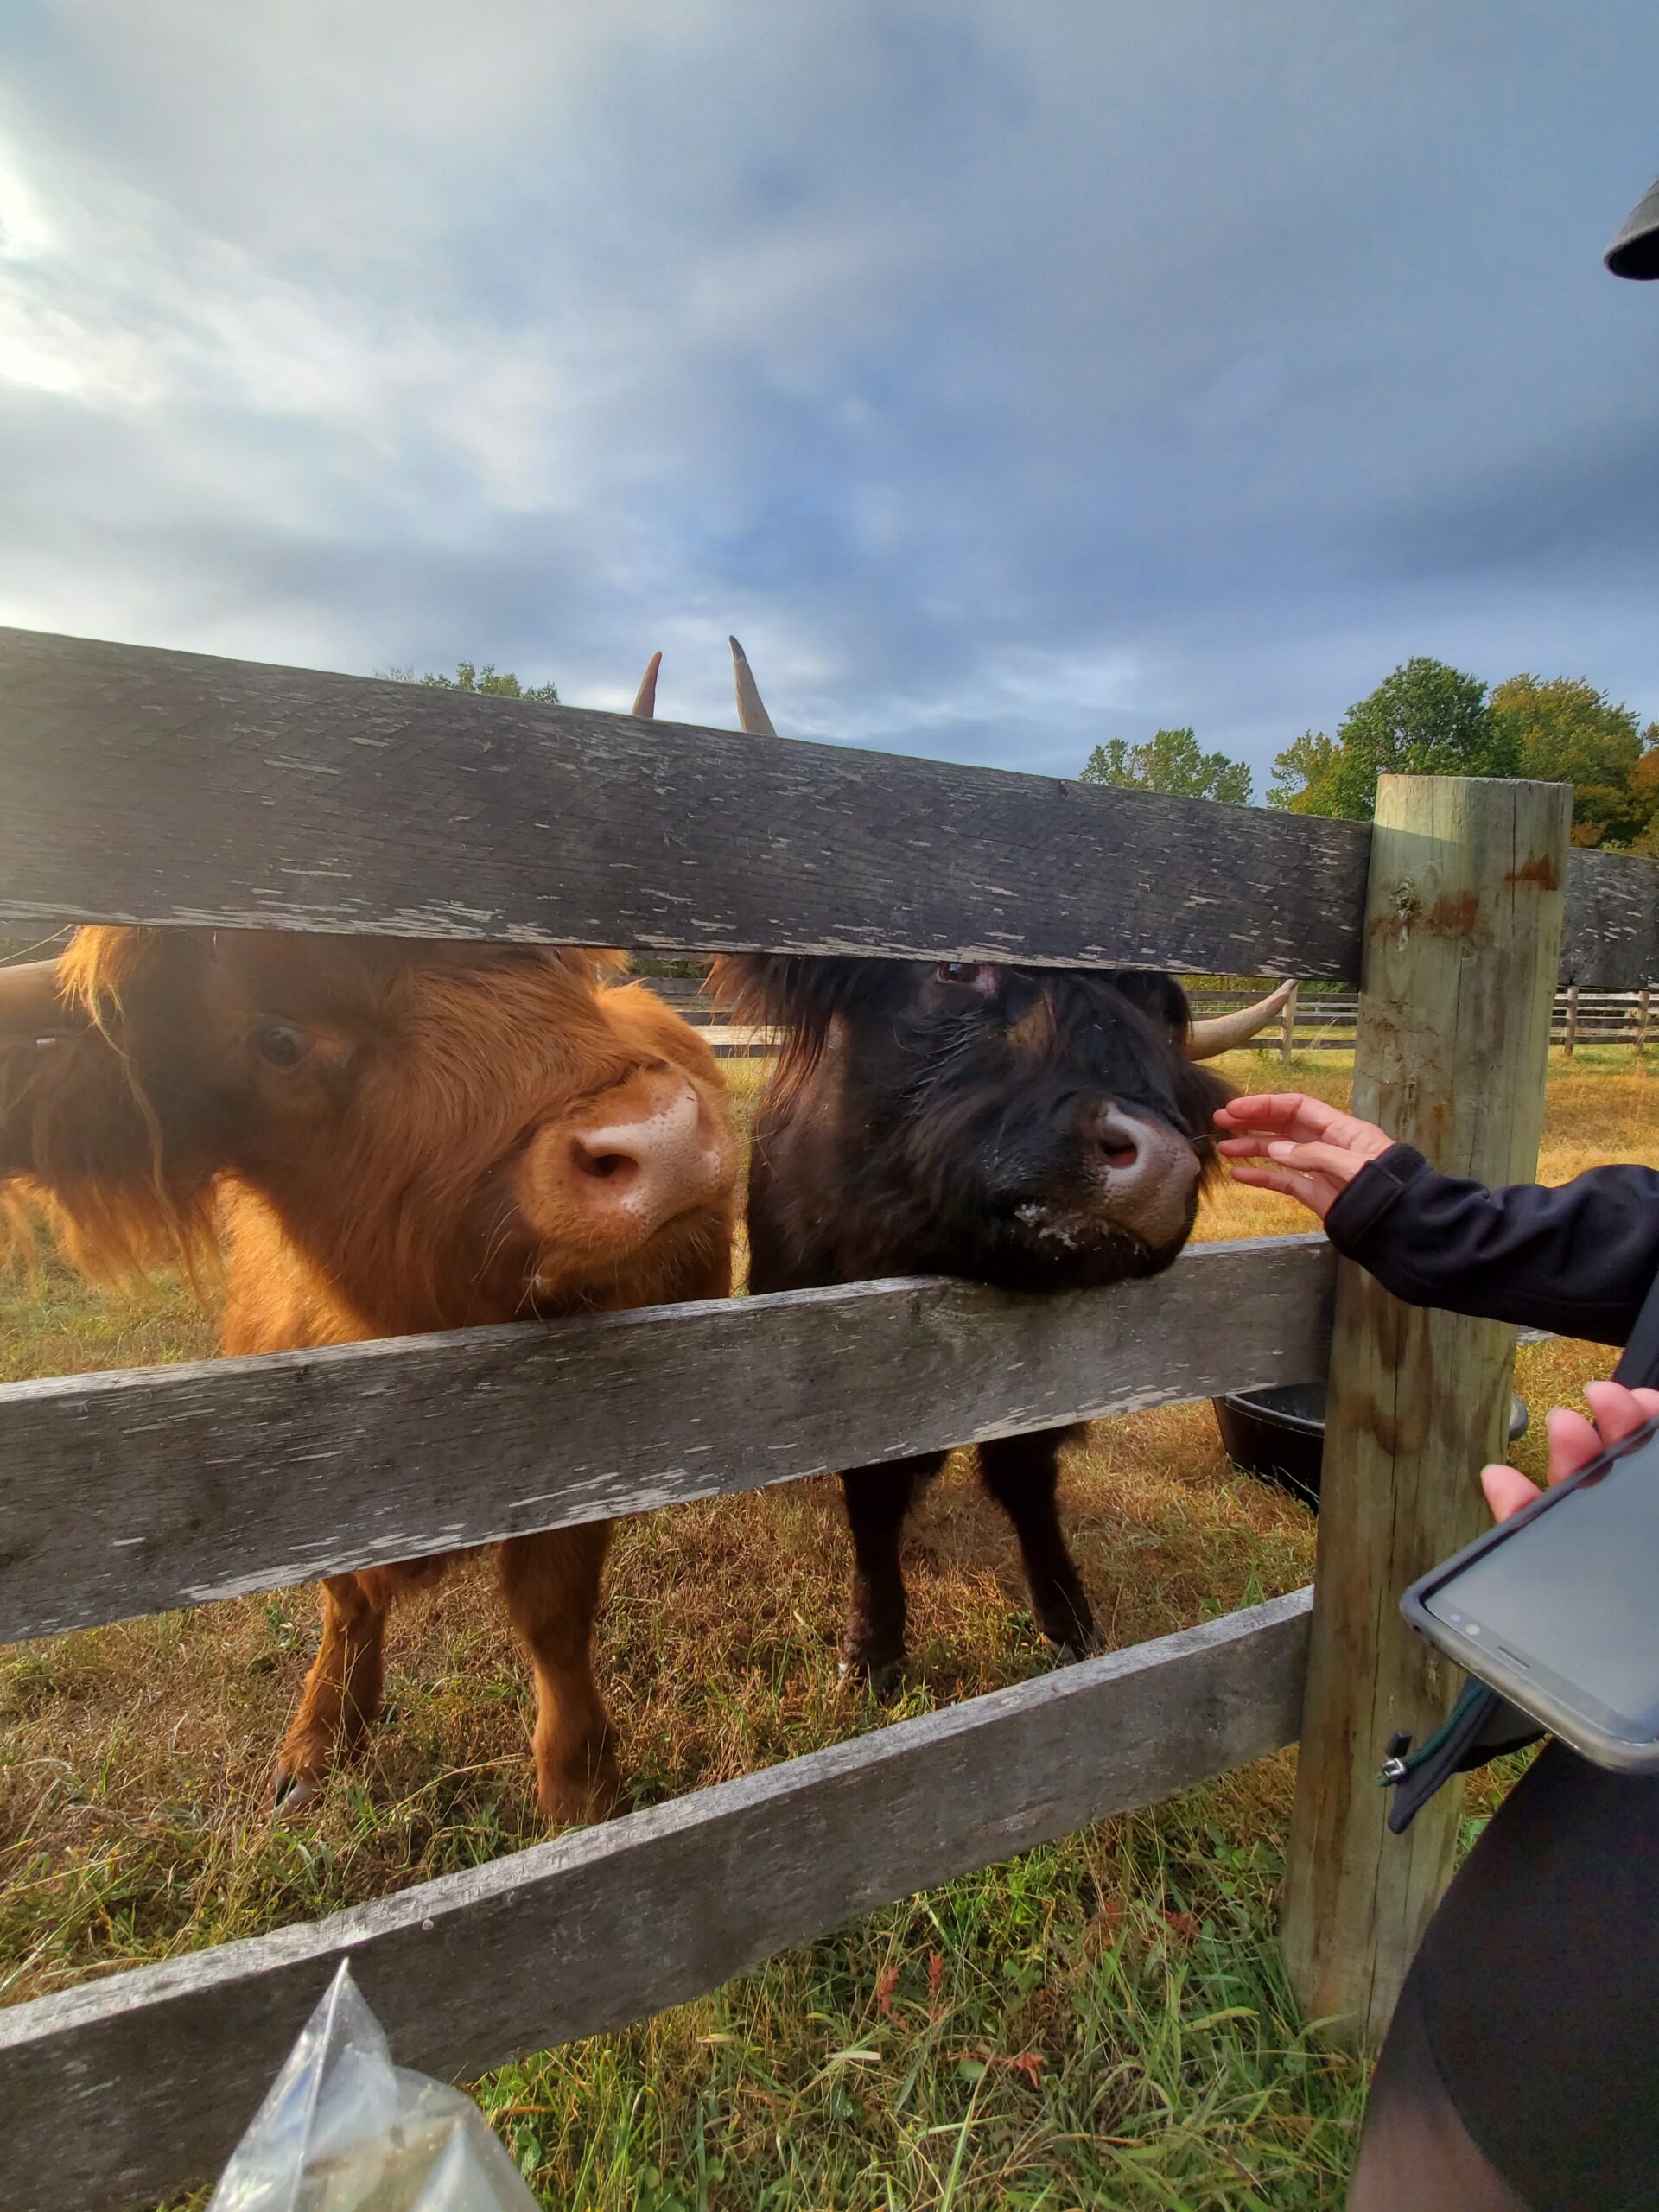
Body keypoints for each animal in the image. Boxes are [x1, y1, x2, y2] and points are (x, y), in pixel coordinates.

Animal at [0, 927, 737, 1819]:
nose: (661, 1137)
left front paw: (578, 1790)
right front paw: (317, 1743)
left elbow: (552, 1619)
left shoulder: (583, 1468)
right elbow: (346, 1600)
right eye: (277, 1042)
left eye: (554, 955)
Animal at [637, 640, 1288, 1690]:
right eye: (953, 968)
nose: (1157, 1165)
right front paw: (873, 1653)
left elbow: (1027, 1482)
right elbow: (871, 1499)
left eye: (1159, 1007)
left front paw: (1070, 1622)